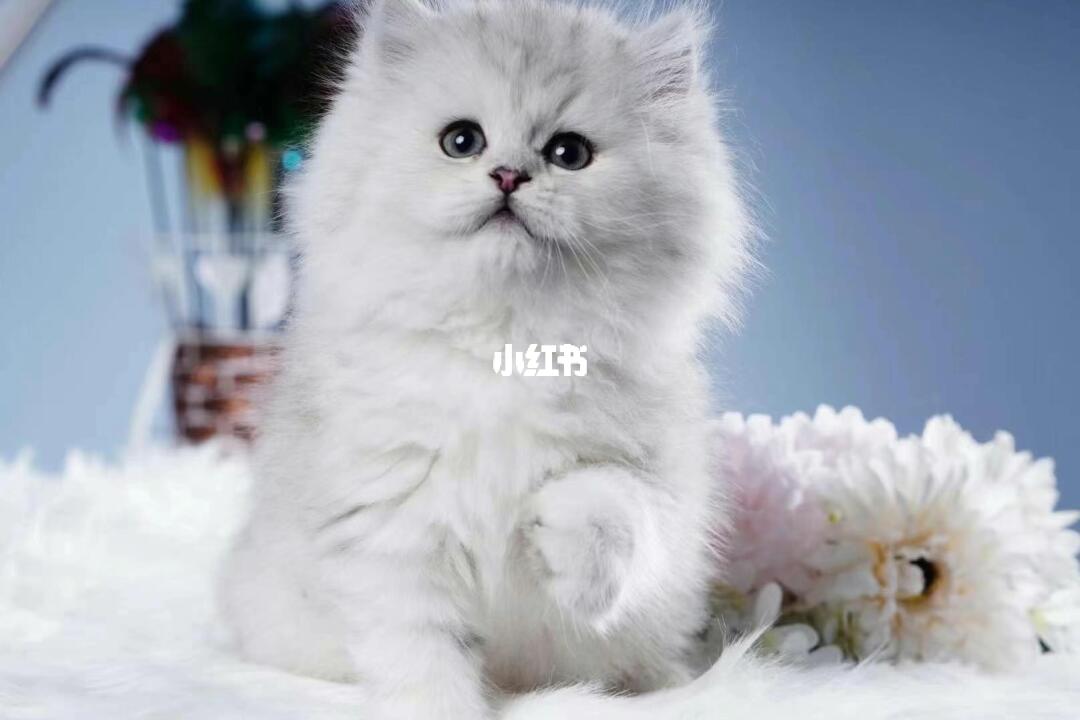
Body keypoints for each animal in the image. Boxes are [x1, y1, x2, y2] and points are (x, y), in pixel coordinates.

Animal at [221, 0, 753, 717]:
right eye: (461, 141)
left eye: (568, 153)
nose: (508, 176)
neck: (504, 343)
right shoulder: (393, 529)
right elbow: (424, 654)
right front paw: (441, 709)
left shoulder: (655, 476)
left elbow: (613, 512)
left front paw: (564, 559)